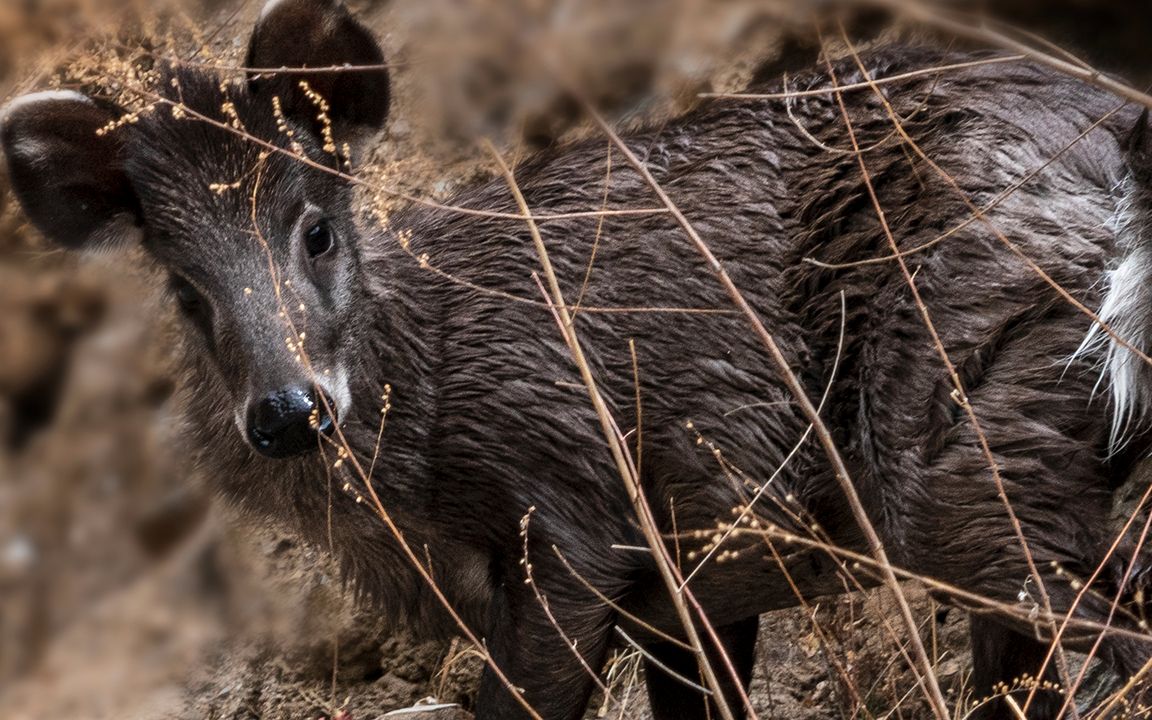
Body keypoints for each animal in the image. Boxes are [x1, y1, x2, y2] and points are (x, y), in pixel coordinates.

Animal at [2, 1, 1152, 718]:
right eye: (183, 289)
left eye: (316, 229)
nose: (288, 412)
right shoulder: (695, 583)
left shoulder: (568, 515)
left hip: (957, 446)